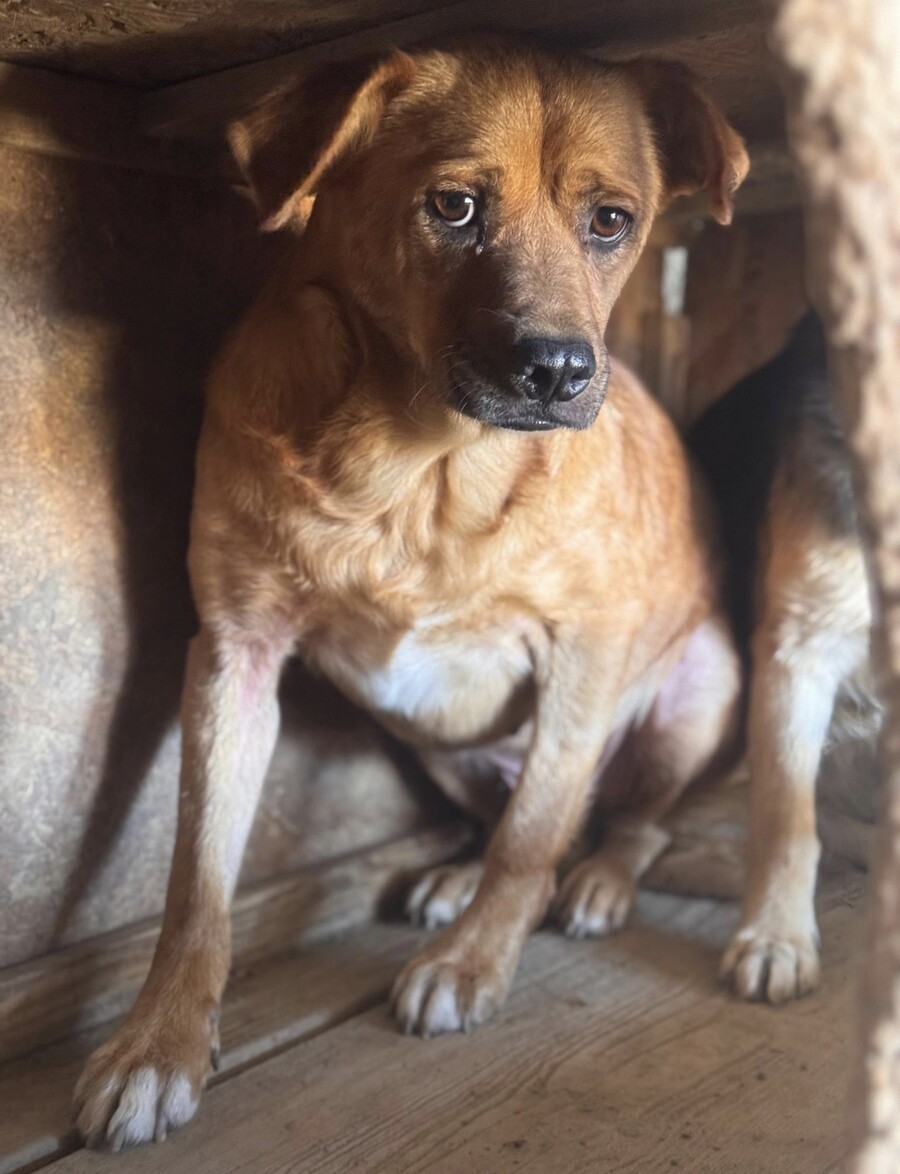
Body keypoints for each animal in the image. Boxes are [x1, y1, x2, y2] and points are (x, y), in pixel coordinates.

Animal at [73, 40, 748, 1148]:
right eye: (454, 207)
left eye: (612, 220)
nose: (559, 372)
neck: (419, 474)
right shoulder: (232, 654)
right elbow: (197, 880)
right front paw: (158, 1043)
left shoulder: (584, 652)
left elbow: (533, 836)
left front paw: (473, 962)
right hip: (433, 745)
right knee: (512, 815)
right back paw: (458, 875)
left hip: (703, 687)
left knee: (620, 825)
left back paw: (595, 883)